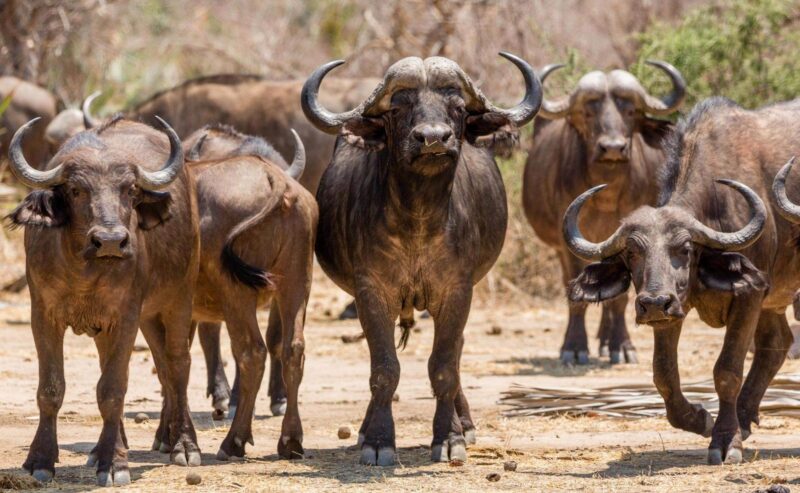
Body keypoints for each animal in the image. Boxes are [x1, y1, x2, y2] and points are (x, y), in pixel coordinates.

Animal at [7, 116, 200, 486]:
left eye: (130, 189)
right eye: (76, 190)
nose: (110, 240)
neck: (84, 270)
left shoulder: (125, 317)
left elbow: (112, 390)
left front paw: (115, 464)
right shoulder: (43, 315)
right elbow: (51, 389)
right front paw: (40, 459)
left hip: (178, 298)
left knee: (178, 365)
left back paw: (184, 445)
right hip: (144, 318)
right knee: (156, 365)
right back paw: (109, 447)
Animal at [302, 53, 541, 465]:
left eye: (458, 107)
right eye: (397, 108)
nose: (433, 138)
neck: (419, 221)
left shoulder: (458, 291)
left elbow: (444, 367)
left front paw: (449, 437)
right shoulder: (371, 292)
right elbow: (384, 369)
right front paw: (377, 440)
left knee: (456, 354)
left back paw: (465, 422)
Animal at [523, 61, 685, 364]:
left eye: (630, 112)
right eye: (588, 112)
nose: (612, 148)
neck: (606, 197)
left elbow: (619, 298)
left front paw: (621, 346)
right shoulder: (568, 243)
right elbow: (576, 292)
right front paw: (574, 347)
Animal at [565, 97, 800, 464]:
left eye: (685, 248)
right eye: (632, 253)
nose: (653, 303)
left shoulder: (749, 295)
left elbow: (727, 370)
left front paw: (725, 441)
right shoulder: (671, 313)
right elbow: (664, 375)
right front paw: (701, 419)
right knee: (777, 342)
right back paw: (744, 418)